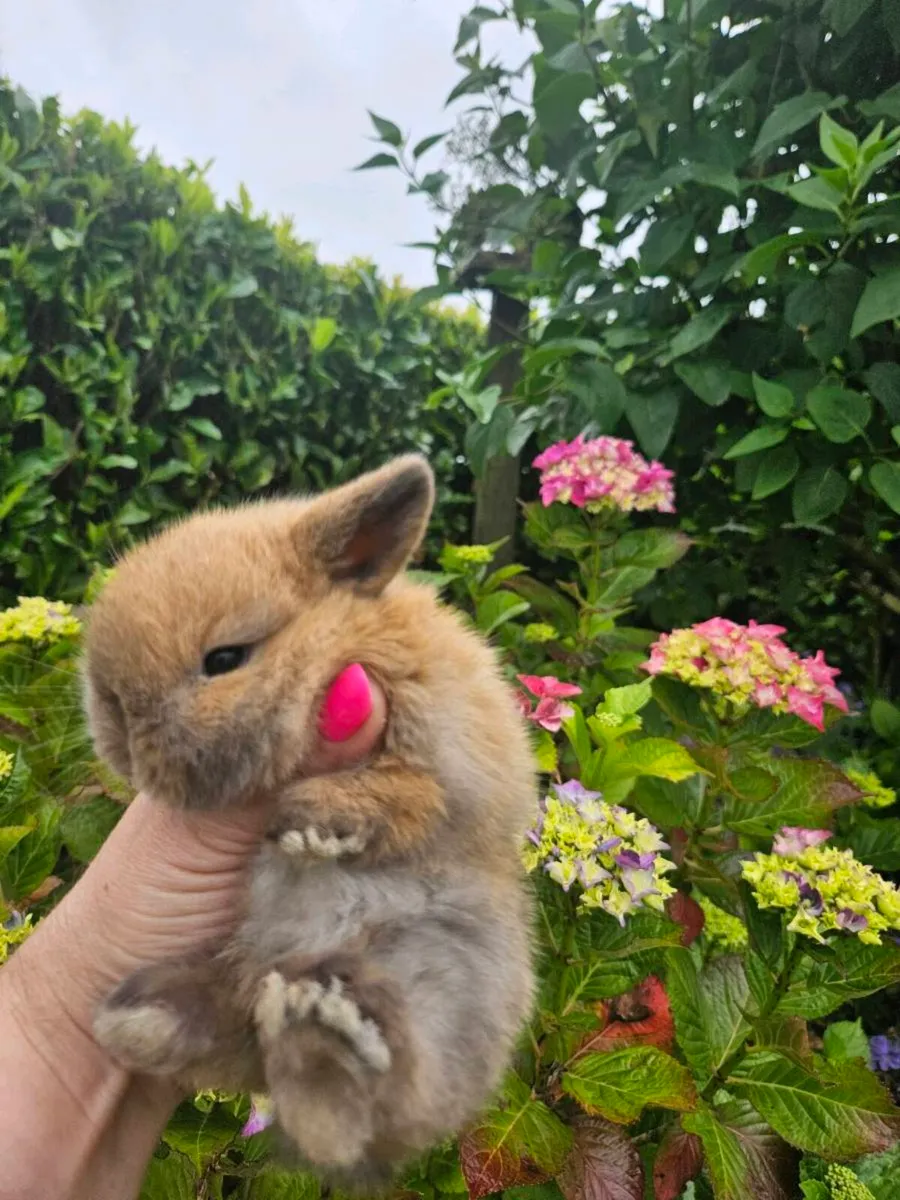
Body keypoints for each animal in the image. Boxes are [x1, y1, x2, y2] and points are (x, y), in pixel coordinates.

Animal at [82, 454, 537, 1189]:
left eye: (225, 659)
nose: (117, 723)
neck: (335, 643)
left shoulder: (448, 762)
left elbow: (410, 795)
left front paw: (310, 825)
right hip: (247, 975)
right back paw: (145, 1018)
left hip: (446, 977)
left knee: (362, 1114)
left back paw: (321, 1032)